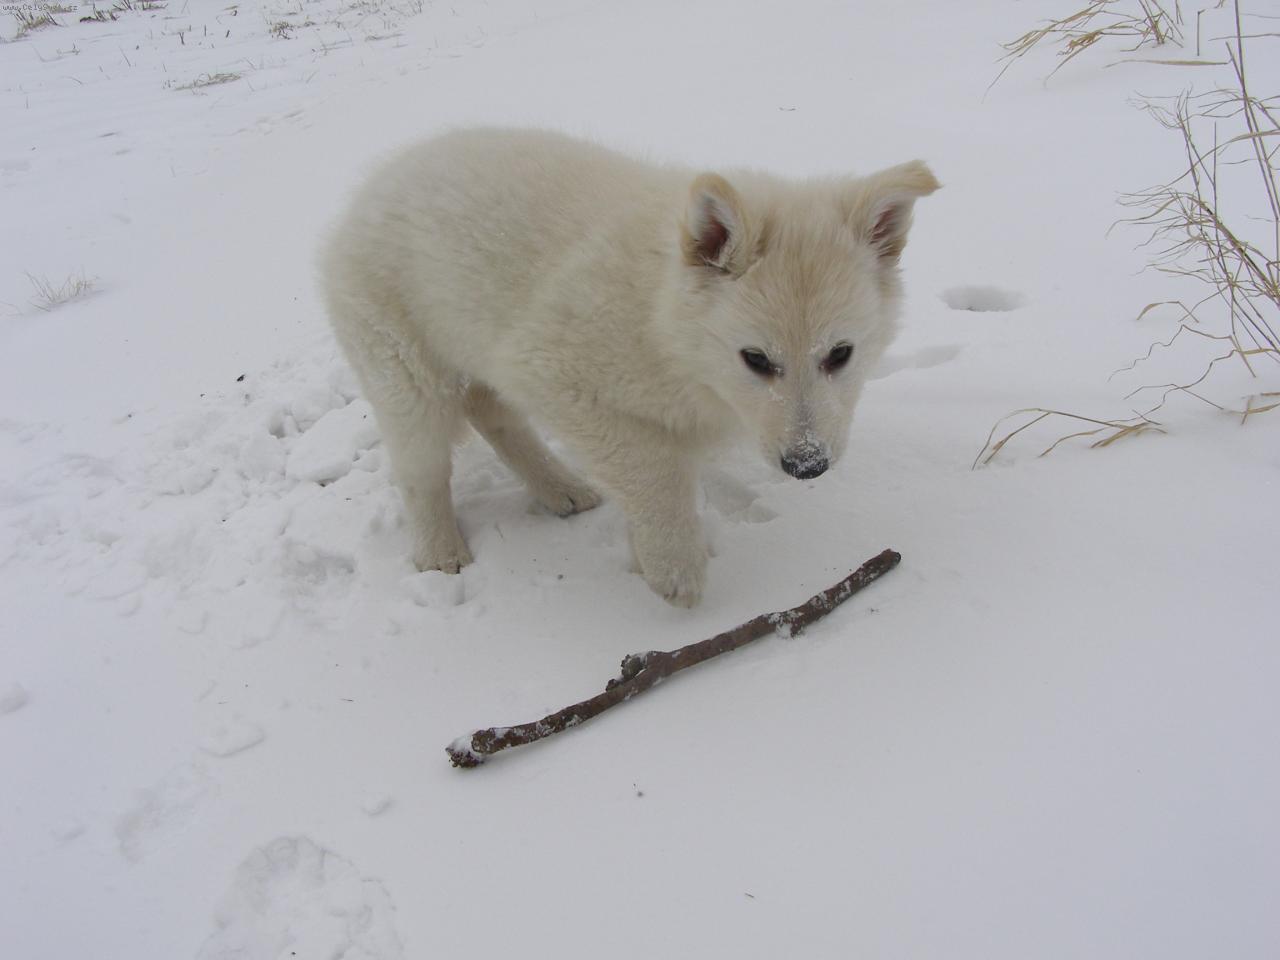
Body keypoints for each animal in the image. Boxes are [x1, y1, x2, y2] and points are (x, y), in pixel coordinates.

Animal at [319, 128, 937, 606]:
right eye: (756, 360)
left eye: (840, 354)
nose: (807, 466)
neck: (666, 329)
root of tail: (375, 183)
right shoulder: (553, 372)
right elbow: (653, 470)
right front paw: (674, 566)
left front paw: (648, 555)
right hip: (401, 368)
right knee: (422, 467)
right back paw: (440, 552)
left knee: (495, 415)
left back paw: (561, 488)